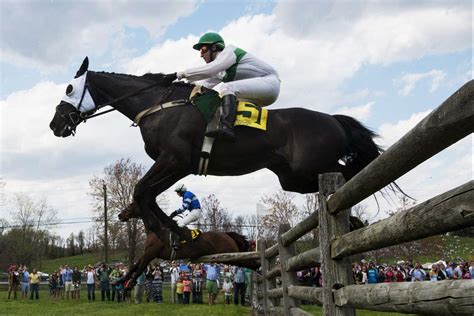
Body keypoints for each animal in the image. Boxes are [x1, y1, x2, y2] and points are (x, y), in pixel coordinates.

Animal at [48, 56, 382, 241]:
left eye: (69, 88)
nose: (54, 124)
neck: (158, 105)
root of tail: (333, 119)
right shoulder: (178, 165)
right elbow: (148, 194)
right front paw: (177, 231)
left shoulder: (175, 160)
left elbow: (141, 190)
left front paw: (165, 232)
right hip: (294, 178)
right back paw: (353, 221)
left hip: (312, 166)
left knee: (352, 172)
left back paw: (355, 218)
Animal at [117, 202, 260, 288]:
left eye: (131, 205)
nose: (120, 215)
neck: (157, 230)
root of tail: (227, 235)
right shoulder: (147, 253)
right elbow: (134, 266)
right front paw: (120, 280)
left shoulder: (150, 253)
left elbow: (140, 268)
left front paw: (129, 284)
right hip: (229, 257)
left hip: (230, 255)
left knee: (251, 263)